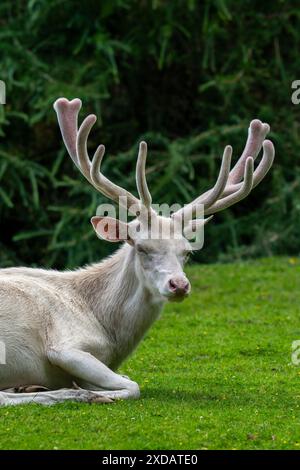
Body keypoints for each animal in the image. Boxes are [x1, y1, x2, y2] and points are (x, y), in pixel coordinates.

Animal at [0, 98, 274, 404]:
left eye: (187, 252)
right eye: (142, 247)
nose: (179, 285)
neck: (109, 332)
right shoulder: (65, 345)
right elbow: (133, 386)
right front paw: (89, 392)